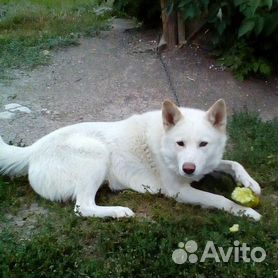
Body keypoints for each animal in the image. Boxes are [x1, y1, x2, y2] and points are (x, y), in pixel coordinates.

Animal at [0, 99, 262, 219]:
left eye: (203, 144)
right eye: (180, 143)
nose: (188, 169)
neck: (165, 143)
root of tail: (33, 148)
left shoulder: (206, 164)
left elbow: (233, 163)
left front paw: (250, 183)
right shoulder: (179, 191)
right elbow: (219, 199)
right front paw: (246, 212)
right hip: (98, 154)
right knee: (83, 207)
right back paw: (119, 211)